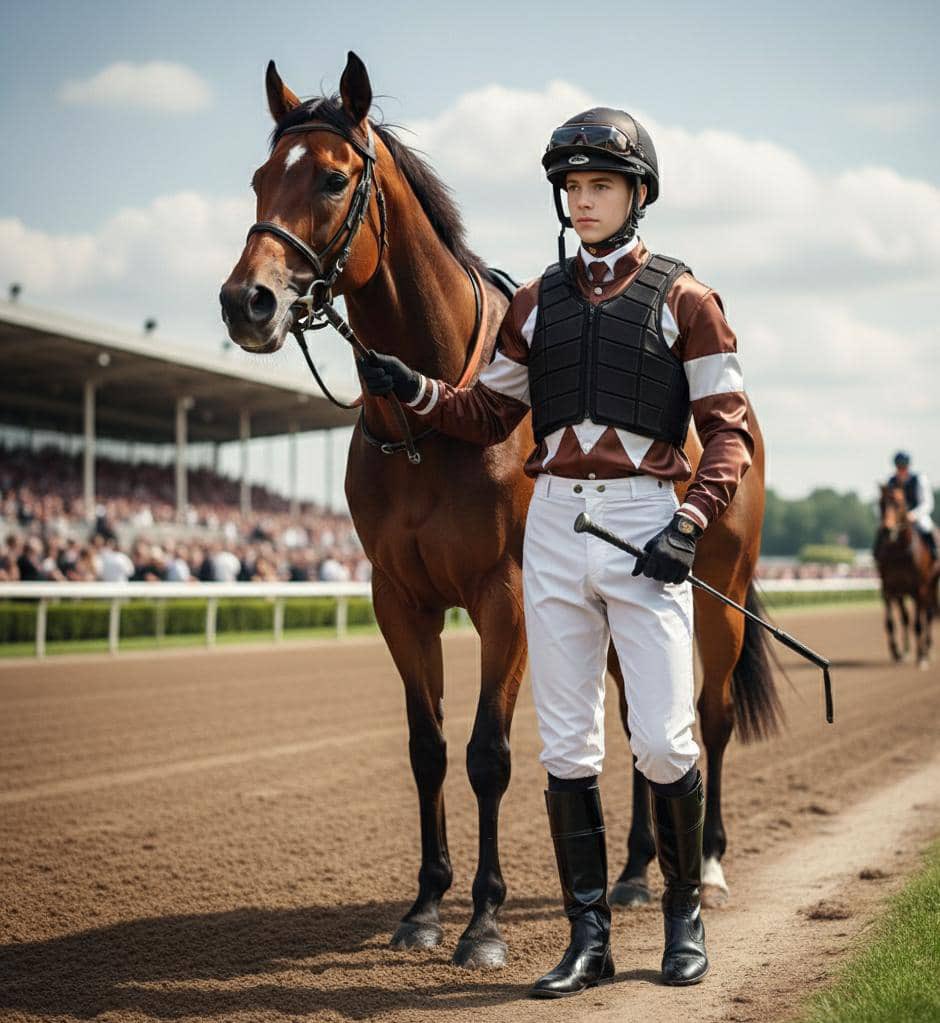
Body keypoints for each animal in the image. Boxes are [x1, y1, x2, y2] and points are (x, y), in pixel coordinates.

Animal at [874, 484, 936, 669]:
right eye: (881, 503)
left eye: (898, 503)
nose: (887, 529)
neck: (899, 551)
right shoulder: (888, 588)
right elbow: (891, 623)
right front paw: (897, 652)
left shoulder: (919, 588)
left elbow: (918, 624)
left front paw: (921, 657)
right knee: (905, 618)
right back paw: (907, 649)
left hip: (930, 586)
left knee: (928, 615)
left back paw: (926, 649)